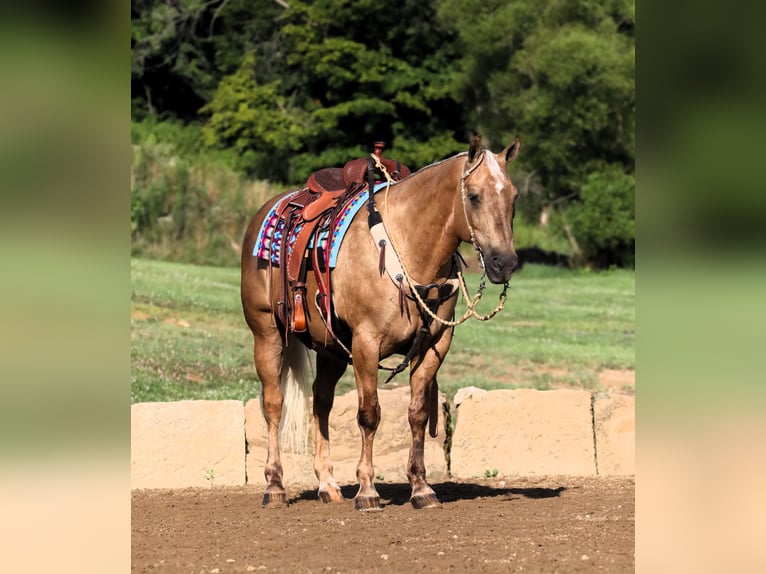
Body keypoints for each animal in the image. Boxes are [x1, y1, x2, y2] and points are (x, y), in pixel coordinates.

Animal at [243, 136, 524, 512]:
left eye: (513, 196)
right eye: (475, 195)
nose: (503, 263)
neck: (410, 247)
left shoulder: (434, 346)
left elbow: (418, 412)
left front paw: (421, 488)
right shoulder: (366, 343)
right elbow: (369, 413)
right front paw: (367, 490)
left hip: (330, 348)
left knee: (321, 402)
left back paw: (327, 484)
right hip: (268, 334)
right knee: (274, 403)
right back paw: (275, 486)